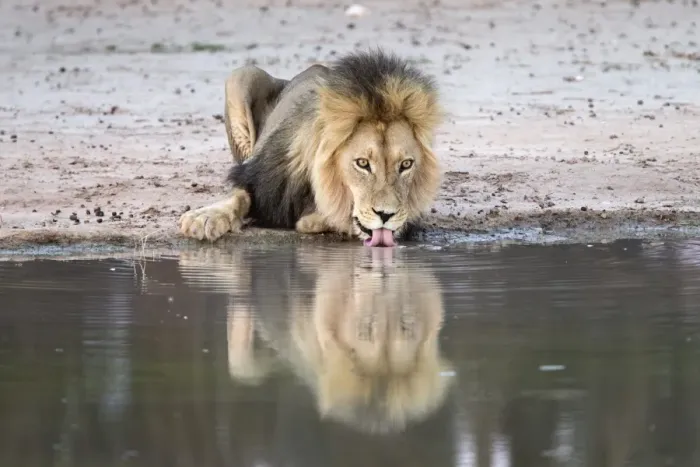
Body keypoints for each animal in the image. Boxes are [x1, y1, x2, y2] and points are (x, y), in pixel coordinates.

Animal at [178, 49, 443, 247]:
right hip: (242, 75)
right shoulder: (260, 180)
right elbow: (238, 196)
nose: (386, 215)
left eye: (406, 165)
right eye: (362, 163)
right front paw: (205, 217)